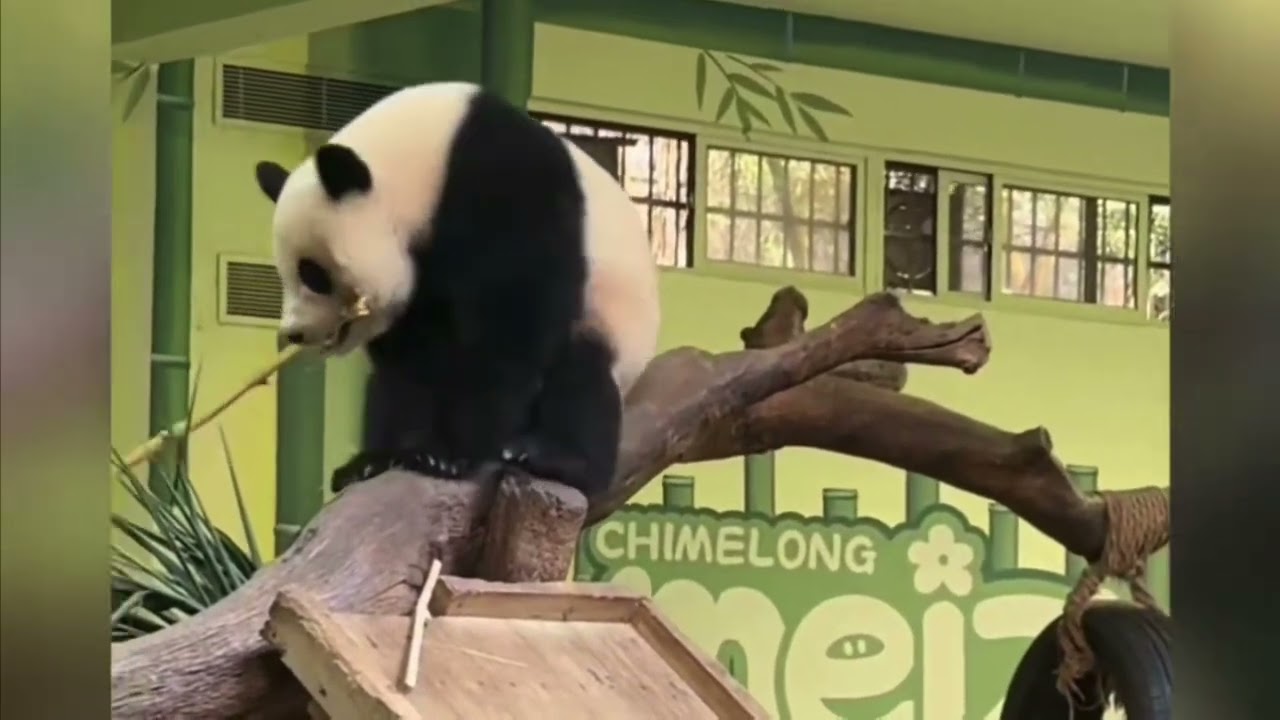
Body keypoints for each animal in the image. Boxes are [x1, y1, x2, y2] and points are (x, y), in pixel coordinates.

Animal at [252, 81, 661, 499]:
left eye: (312, 274)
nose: (294, 332)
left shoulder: (510, 188)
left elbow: (510, 324)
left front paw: (451, 454)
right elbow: (410, 360)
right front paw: (394, 454)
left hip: (610, 319)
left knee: (582, 378)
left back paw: (554, 457)